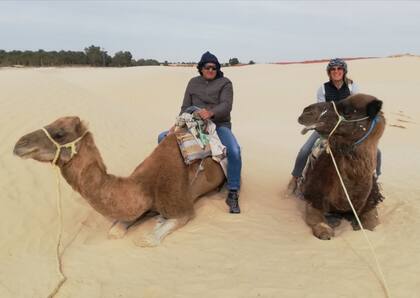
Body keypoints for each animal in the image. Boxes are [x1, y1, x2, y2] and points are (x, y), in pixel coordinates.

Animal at [13, 116, 225, 247]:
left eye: (60, 133)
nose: (19, 144)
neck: (145, 186)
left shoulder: (182, 206)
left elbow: (148, 239)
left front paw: (156, 226)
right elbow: (115, 230)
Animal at [296, 93, 386, 240]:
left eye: (348, 111)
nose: (306, 111)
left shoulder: (371, 205)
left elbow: (370, 226)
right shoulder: (313, 198)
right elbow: (321, 226)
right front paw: (326, 230)